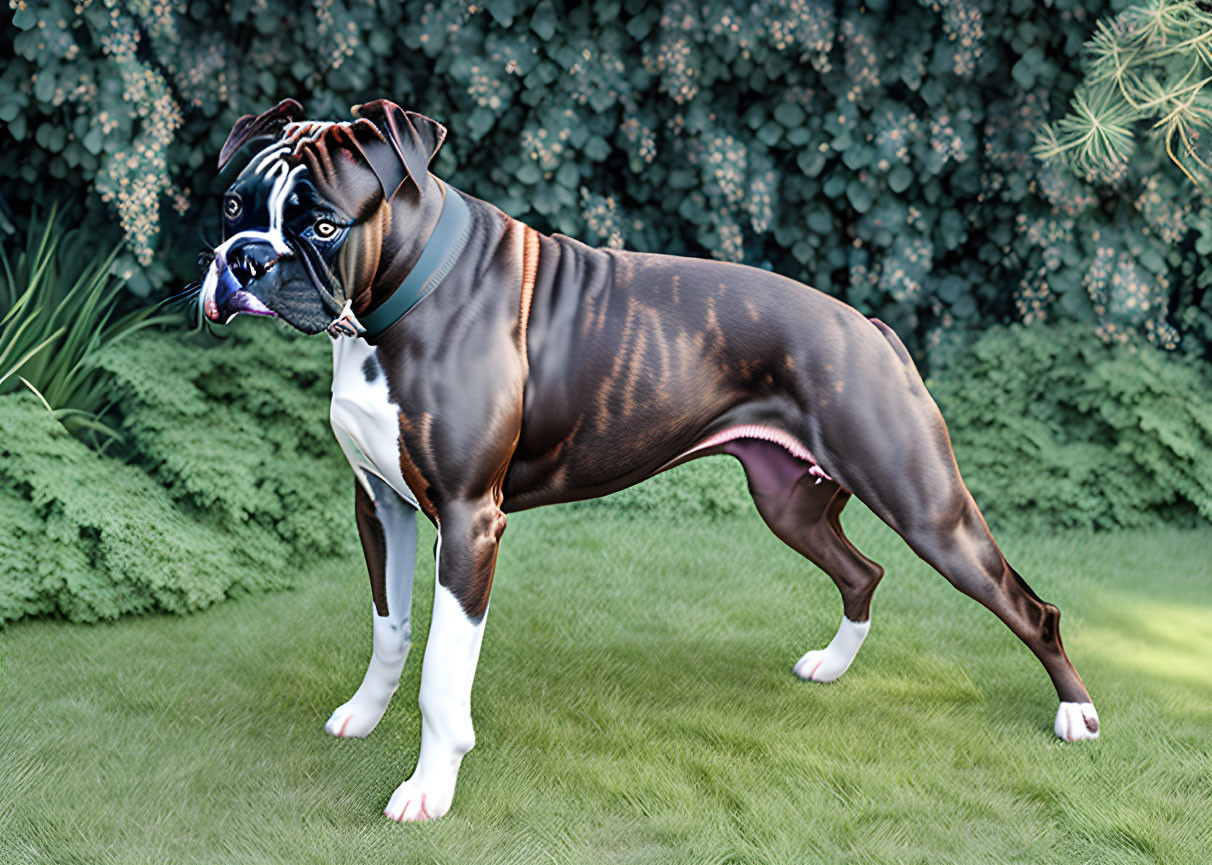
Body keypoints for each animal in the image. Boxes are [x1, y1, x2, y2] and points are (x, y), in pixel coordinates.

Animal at [196, 97, 1100, 818]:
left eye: (322, 225)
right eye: (234, 205)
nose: (244, 258)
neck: (395, 301)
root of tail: (869, 326)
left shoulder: (467, 521)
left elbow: (442, 673)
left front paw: (427, 789)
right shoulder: (379, 504)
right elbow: (390, 628)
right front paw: (362, 714)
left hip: (925, 506)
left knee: (1031, 607)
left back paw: (1076, 715)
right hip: (791, 502)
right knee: (863, 571)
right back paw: (832, 665)